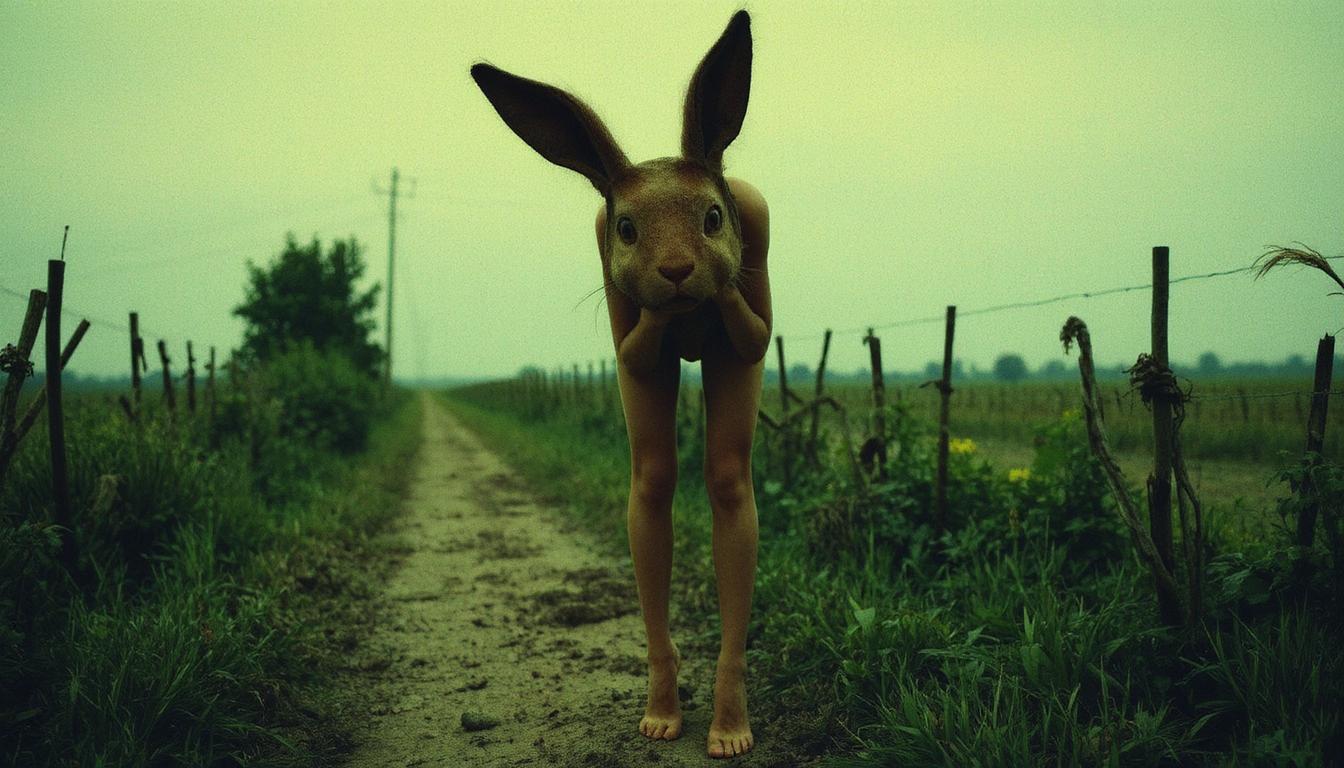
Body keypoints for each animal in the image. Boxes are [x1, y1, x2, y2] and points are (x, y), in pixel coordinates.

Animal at [471, 10, 770, 759]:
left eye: (713, 218)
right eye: (629, 229)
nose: (677, 269)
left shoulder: (755, 230)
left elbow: (752, 331)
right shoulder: (609, 270)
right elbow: (636, 347)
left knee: (727, 477)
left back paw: (726, 724)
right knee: (654, 477)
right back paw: (663, 709)